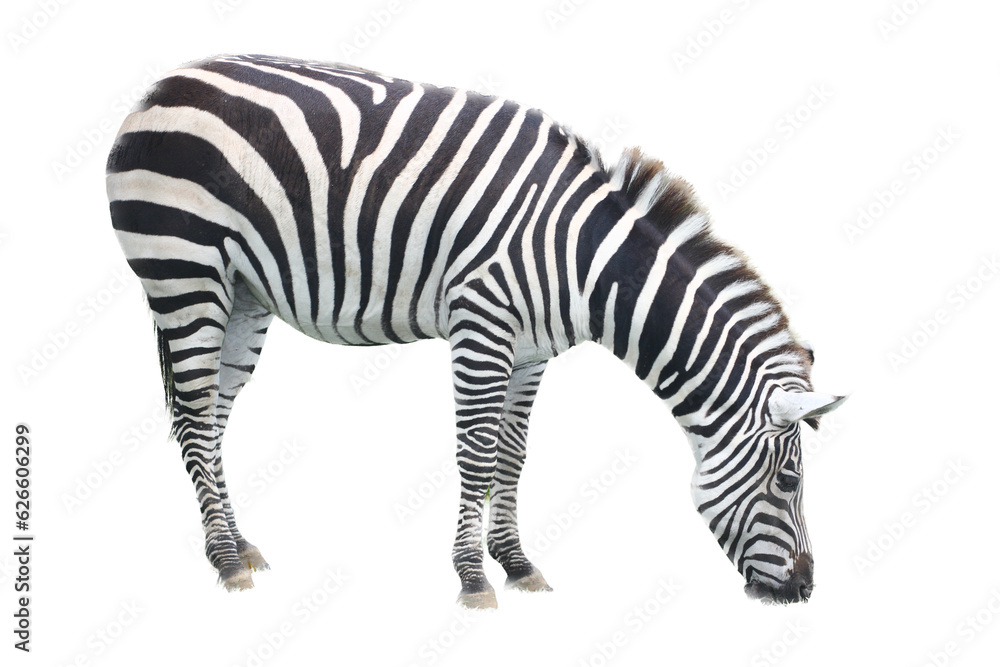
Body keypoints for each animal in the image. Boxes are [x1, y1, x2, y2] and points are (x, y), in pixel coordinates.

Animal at [106, 54, 846, 608]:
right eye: (789, 482)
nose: (805, 589)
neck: (583, 258)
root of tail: (161, 86)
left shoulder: (532, 351)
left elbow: (514, 454)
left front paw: (516, 563)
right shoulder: (482, 326)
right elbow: (477, 453)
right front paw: (471, 577)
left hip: (242, 293)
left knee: (210, 416)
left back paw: (236, 543)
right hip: (185, 271)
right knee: (194, 417)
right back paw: (225, 561)